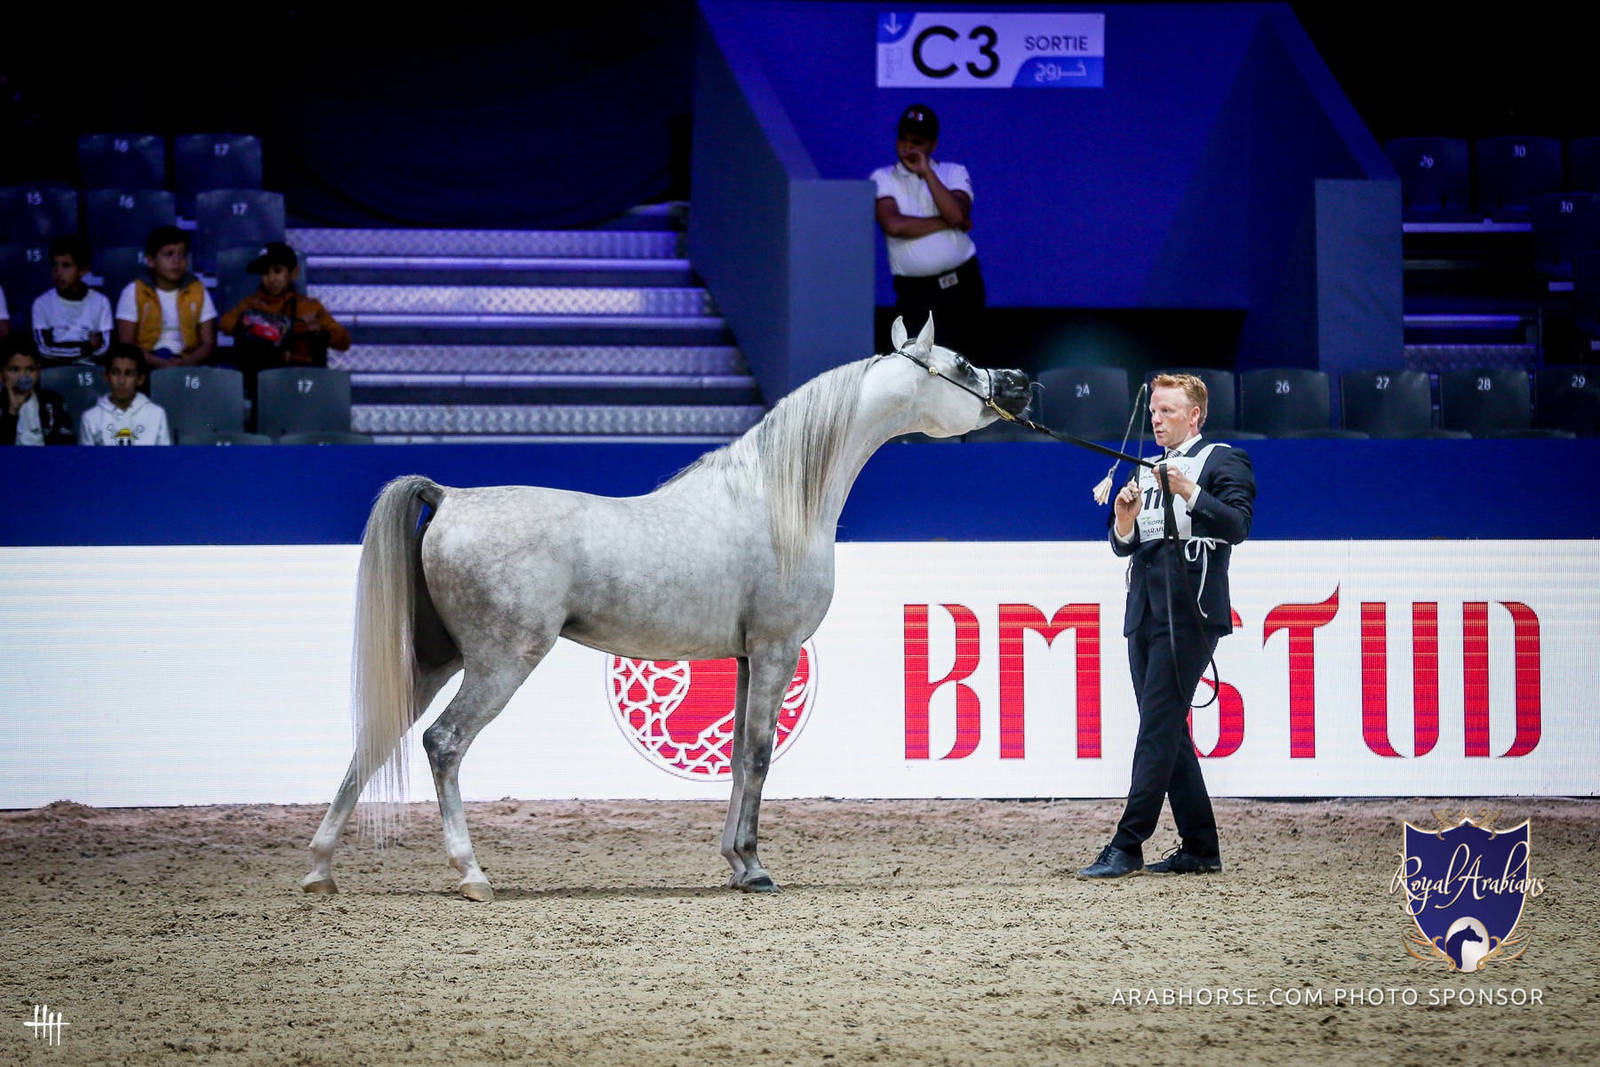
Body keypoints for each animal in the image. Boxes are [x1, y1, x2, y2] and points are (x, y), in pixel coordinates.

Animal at [300, 315, 1032, 901]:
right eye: (961, 365)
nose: (1022, 382)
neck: (775, 502)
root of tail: (449, 495)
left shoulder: (745, 658)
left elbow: (736, 756)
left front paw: (734, 861)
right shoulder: (776, 651)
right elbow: (760, 755)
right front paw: (755, 867)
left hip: (435, 660)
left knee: (376, 739)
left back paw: (320, 869)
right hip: (500, 661)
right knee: (443, 743)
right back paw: (471, 872)